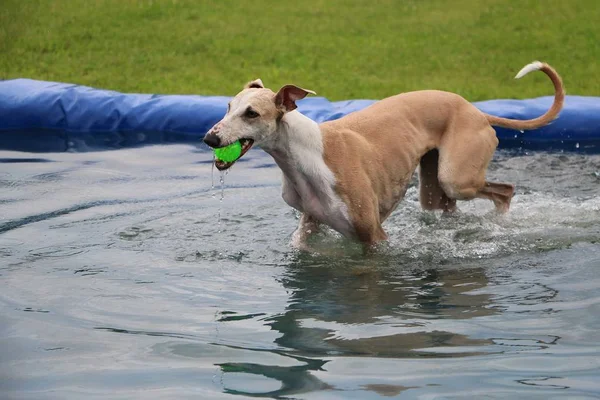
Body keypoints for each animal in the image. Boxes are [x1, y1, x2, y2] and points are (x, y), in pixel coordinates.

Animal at [204, 61, 564, 248]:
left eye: (251, 113)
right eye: (228, 106)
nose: (210, 138)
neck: (304, 153)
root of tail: (476, 111)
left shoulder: (373, 236)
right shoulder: (309, 224)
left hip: (457, 177)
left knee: (505, 190)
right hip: (434, 186)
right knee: (449, 206)